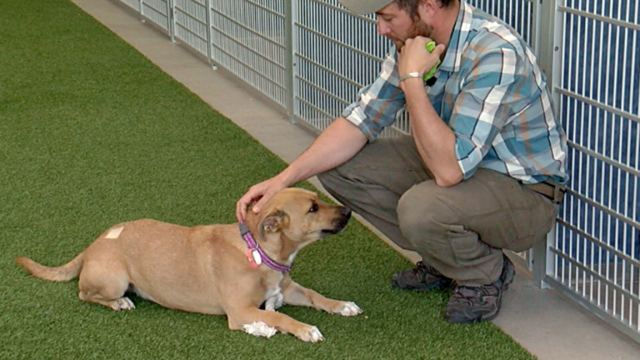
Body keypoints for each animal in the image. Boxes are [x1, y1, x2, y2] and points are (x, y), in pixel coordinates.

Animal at [16, 188, 360, 344]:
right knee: (85, 294)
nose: (348, 211)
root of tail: (93, 245)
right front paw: (305, 329)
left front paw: (341, 305)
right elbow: (280, 318)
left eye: (318, 200)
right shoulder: (241, 312)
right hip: (113, 278)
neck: (259, 249)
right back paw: (120, 302)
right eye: (312, 208)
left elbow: (315, 295)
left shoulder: (286, 289)